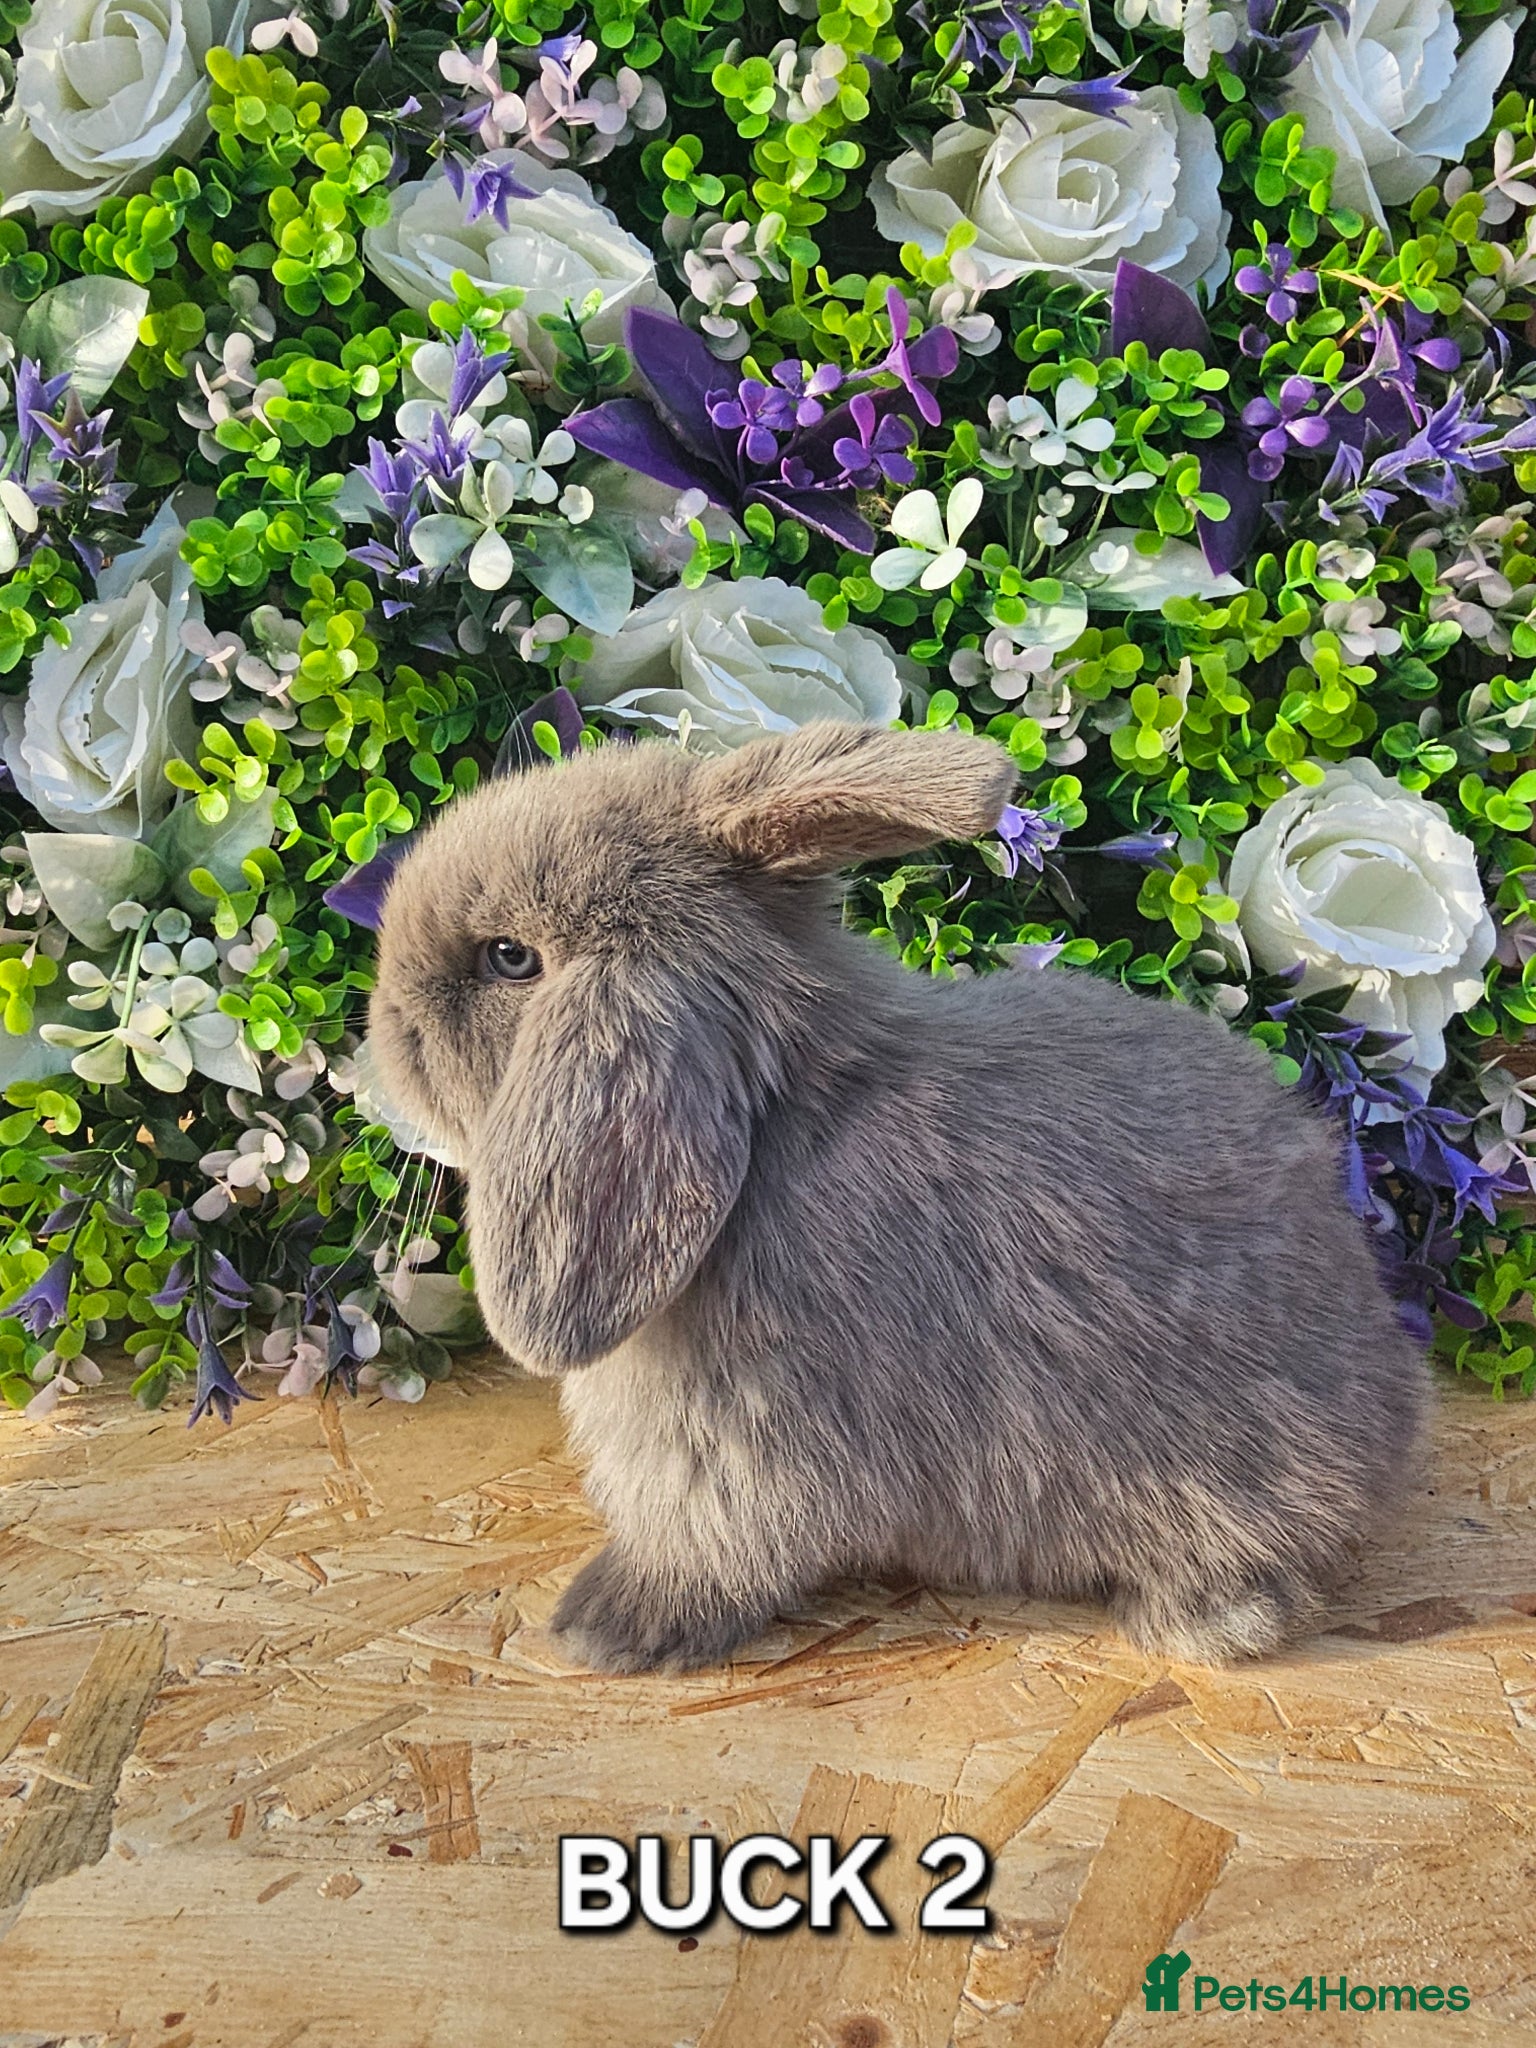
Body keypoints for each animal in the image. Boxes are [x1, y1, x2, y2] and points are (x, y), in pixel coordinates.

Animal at [369, 719, 1432, 1674]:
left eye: (510, 958)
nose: (383, 1020)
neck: (775, 1126)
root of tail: (1392, 1425)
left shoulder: (735, 1456)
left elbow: (717, 1552)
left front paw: (605, 1628)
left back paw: (1202, 1621)